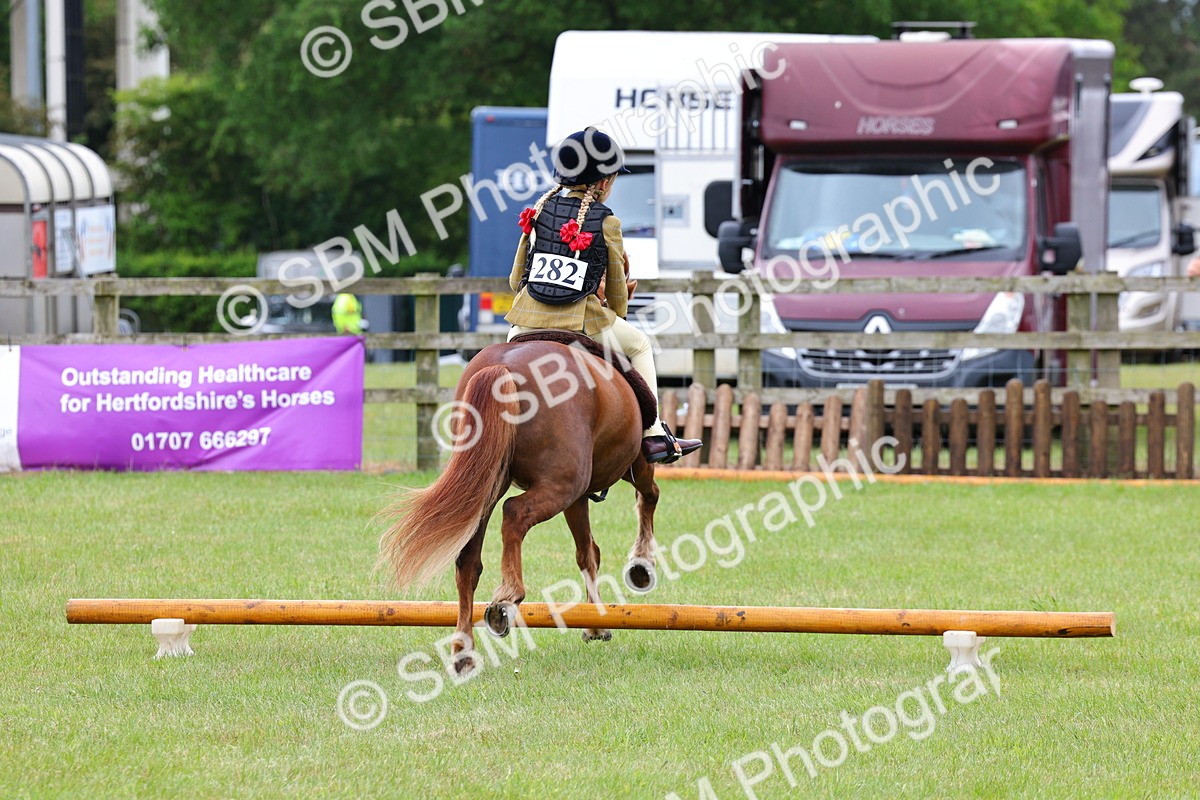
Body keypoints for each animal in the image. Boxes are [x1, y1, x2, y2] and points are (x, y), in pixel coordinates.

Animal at [378, 336, 661, 674]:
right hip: (561, 485)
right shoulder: (627, 467)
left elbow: (587, 551)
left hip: (488, 485)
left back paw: (463, 651)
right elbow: (647, 497)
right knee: (514, 513)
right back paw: (506, 599)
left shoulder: (578, 497)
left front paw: (595, 622)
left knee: (469, 560)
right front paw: (641, 565)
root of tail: (503, 365)